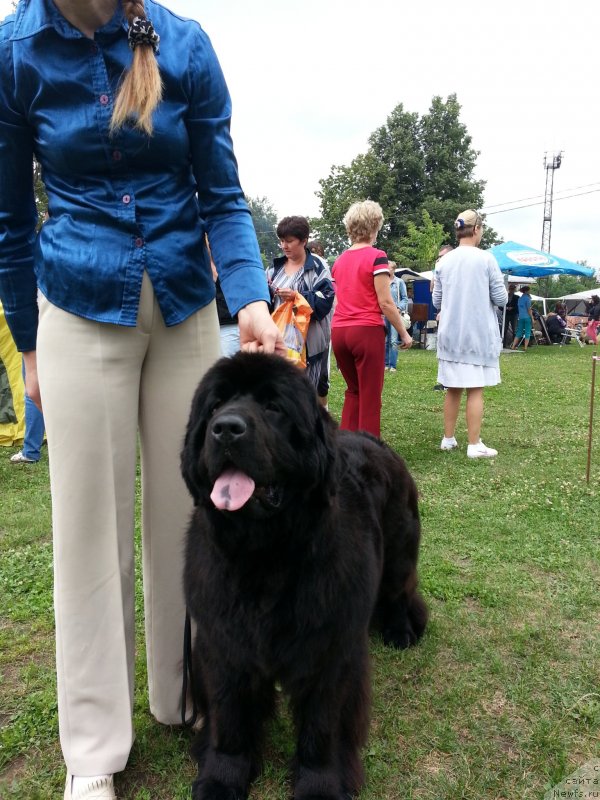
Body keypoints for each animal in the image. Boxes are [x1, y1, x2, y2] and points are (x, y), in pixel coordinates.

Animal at [182, 354, 426, 796]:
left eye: (273, 407)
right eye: (215, 405)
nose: (225, 428)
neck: (265, 557)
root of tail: (375, 440)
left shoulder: (328, 650)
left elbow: (321, 726)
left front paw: (319, 784)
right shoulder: (223, 645)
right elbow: (229, 718)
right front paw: (221, 777)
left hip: (400, 552)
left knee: (400, 592)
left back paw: (400, 631)